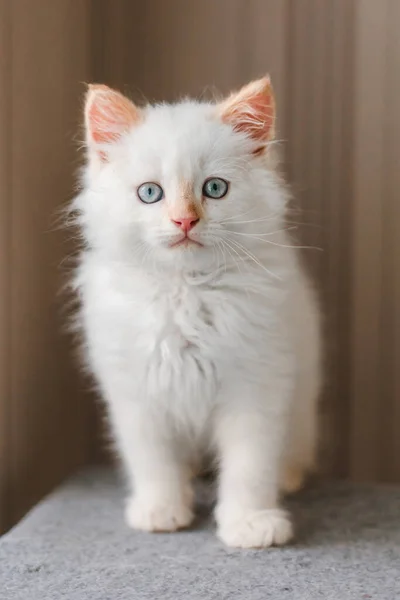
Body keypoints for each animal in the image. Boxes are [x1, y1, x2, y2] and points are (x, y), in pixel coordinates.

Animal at [72, 78, 320, 548]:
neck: (186, 290)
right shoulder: (136, 392)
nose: (184, 221)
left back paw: (289, 477)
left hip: (301, 407)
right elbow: (153, 462)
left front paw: (250, 523)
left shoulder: (257, 386)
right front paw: (161, 511)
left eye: (214, 189)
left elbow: (249, 467)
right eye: (150, 193)